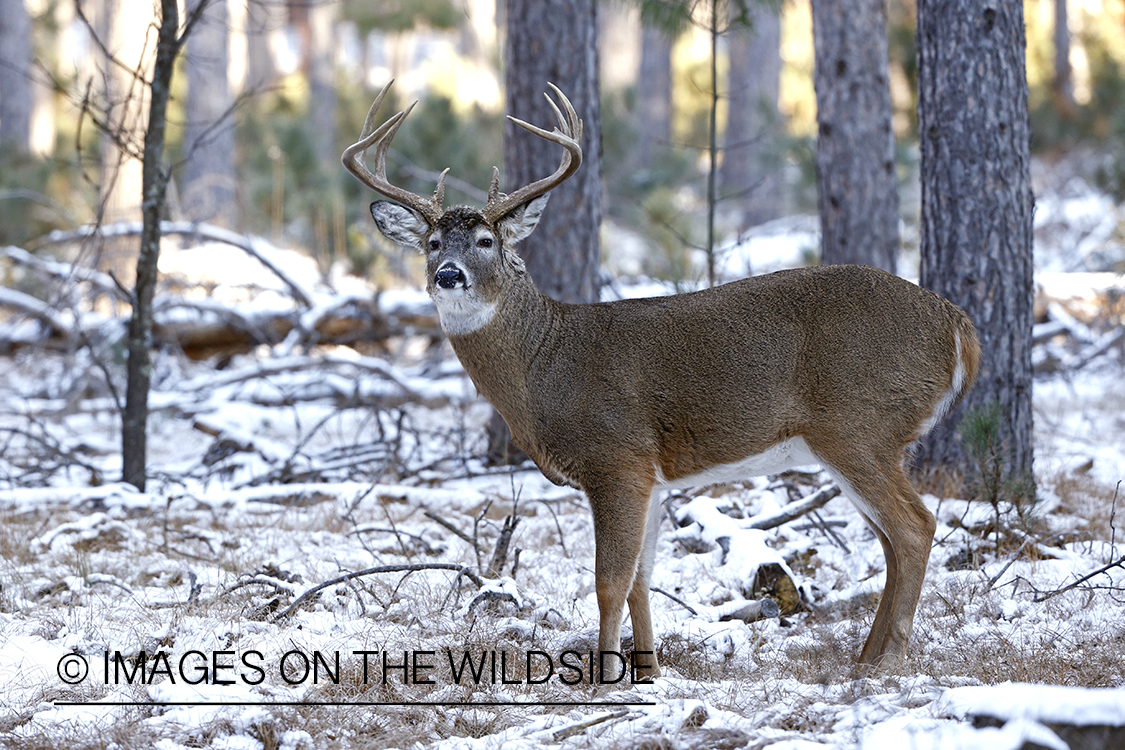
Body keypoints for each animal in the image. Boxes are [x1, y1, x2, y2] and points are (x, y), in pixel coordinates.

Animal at [339, 82, 976, 679]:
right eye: (431, 243)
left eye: (485, 241)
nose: (448, 275)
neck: (546, 362)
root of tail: (957, 324)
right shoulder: (654, 476)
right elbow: (642, 579)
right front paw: (647, 671)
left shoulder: (616, 456)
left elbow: (608, 581)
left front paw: (605, 678)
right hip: (866, 439)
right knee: (892, 540)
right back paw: (864, 658)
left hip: (858, 424)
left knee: (915, 527)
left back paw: (888, 660)